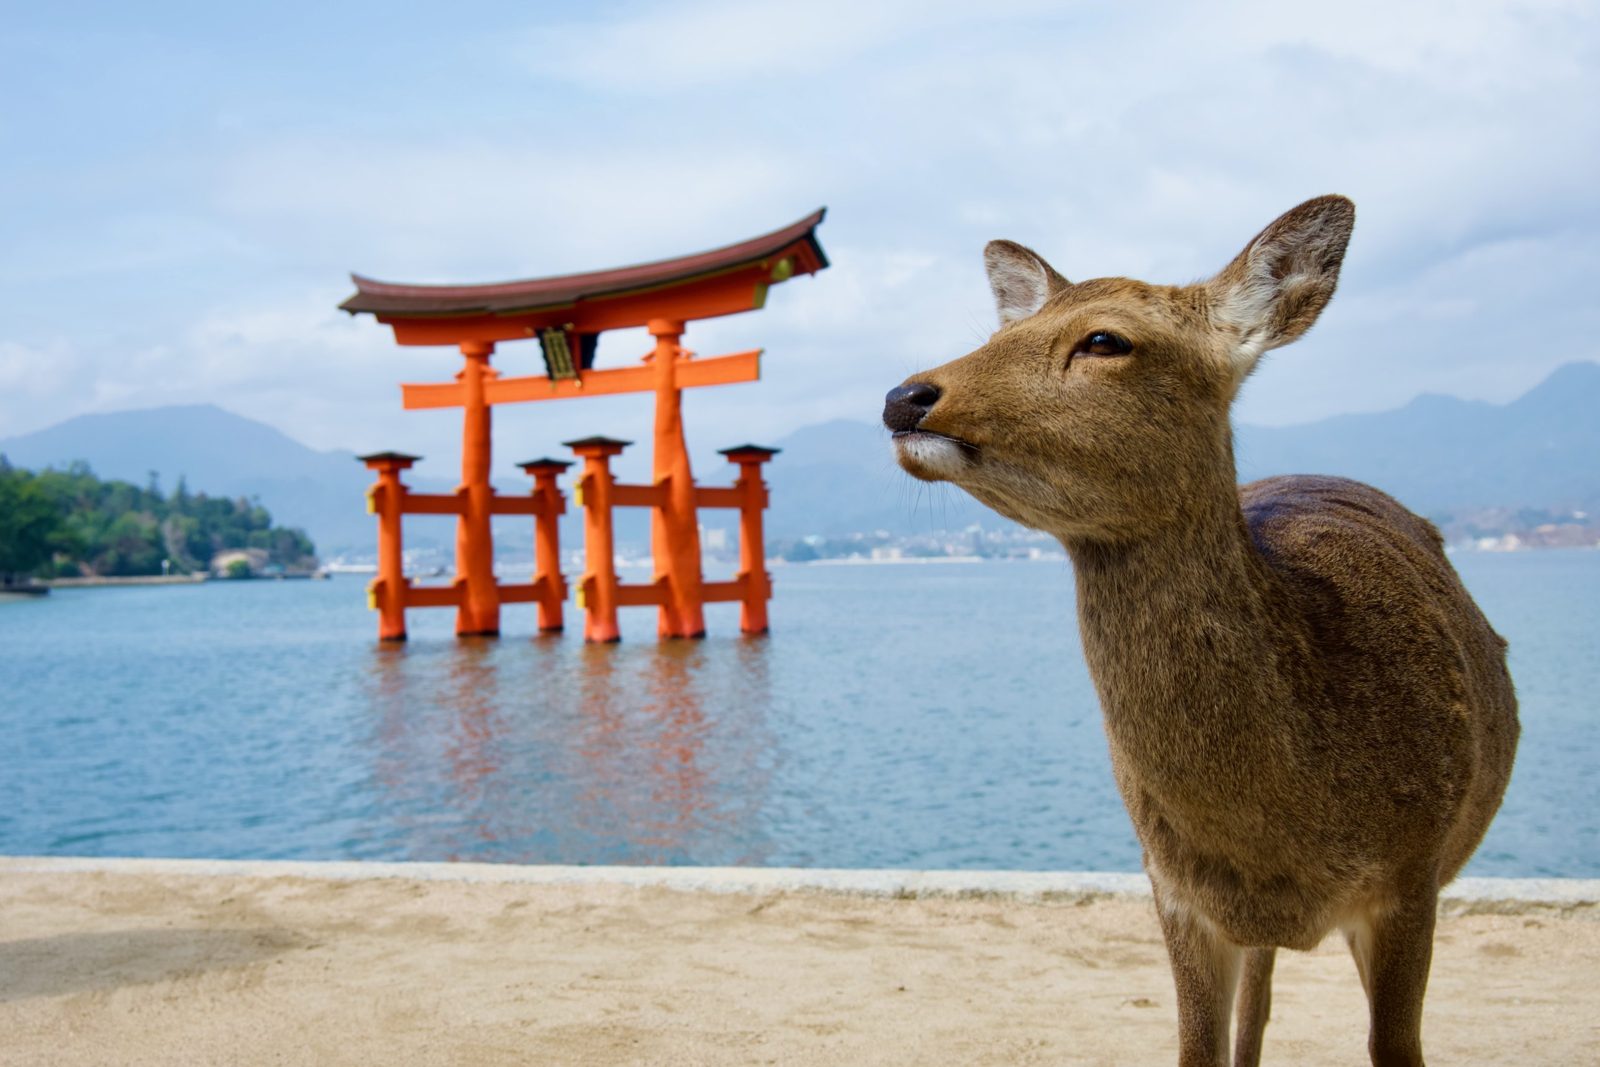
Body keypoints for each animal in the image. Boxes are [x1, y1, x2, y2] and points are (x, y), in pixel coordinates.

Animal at [882, 196, 1519, 1067]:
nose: (905, 396)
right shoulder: (1172, 886)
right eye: (1004, 328)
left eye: (1105, 339)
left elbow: (1397, 1047)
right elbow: (1197, 1048)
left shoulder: (1412, 875)